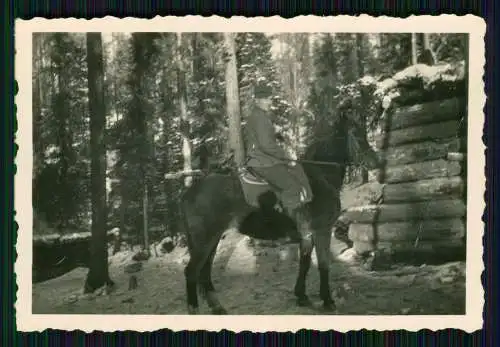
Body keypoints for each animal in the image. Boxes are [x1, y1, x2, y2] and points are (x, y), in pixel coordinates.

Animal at [178, 111, 376, 316]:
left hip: (213, 239)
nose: (376, 162)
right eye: (357, 133)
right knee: (192, 271)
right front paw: (327, 301)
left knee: (204, 272)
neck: (320, 176)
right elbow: (323, 265)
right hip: (205, 240)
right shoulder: (322, 231)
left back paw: (217, 307)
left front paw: (301, 296)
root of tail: (189, 192)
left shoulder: (308, 235)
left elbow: (305, 263)